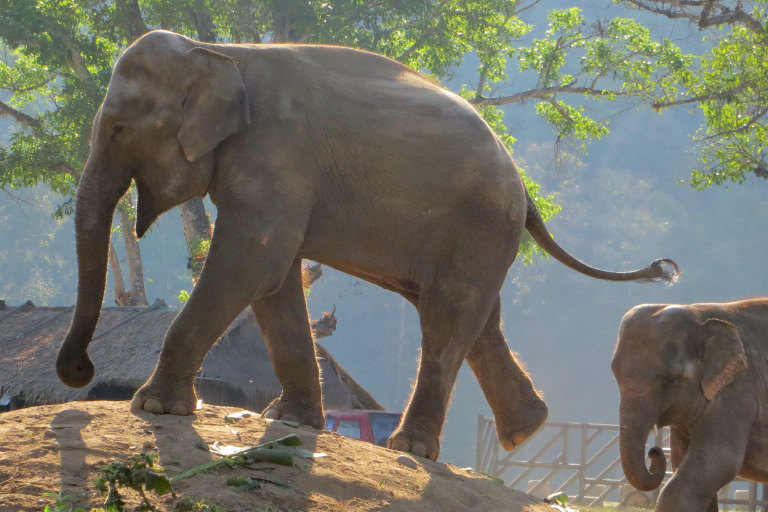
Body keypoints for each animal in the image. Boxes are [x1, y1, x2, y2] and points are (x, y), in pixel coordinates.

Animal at [55, 30, 680, 462]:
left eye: (118, 130)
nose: (81, 372)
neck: (220, 53)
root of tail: (524, 189)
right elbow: (273, 277)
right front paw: (292, 422)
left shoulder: (276, 154)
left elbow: (252, 263)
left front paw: (152, 407)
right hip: (480, 231)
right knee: (474, 317)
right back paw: (527, 427)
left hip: (479, 222)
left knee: (448, 312)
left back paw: (411, 449)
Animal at [612, 300, 768, 512]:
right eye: (615, 373)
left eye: (671, 380)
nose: (654, 452)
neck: (702, 313)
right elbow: (681, 460)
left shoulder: (737, 395)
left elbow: (717, 463)